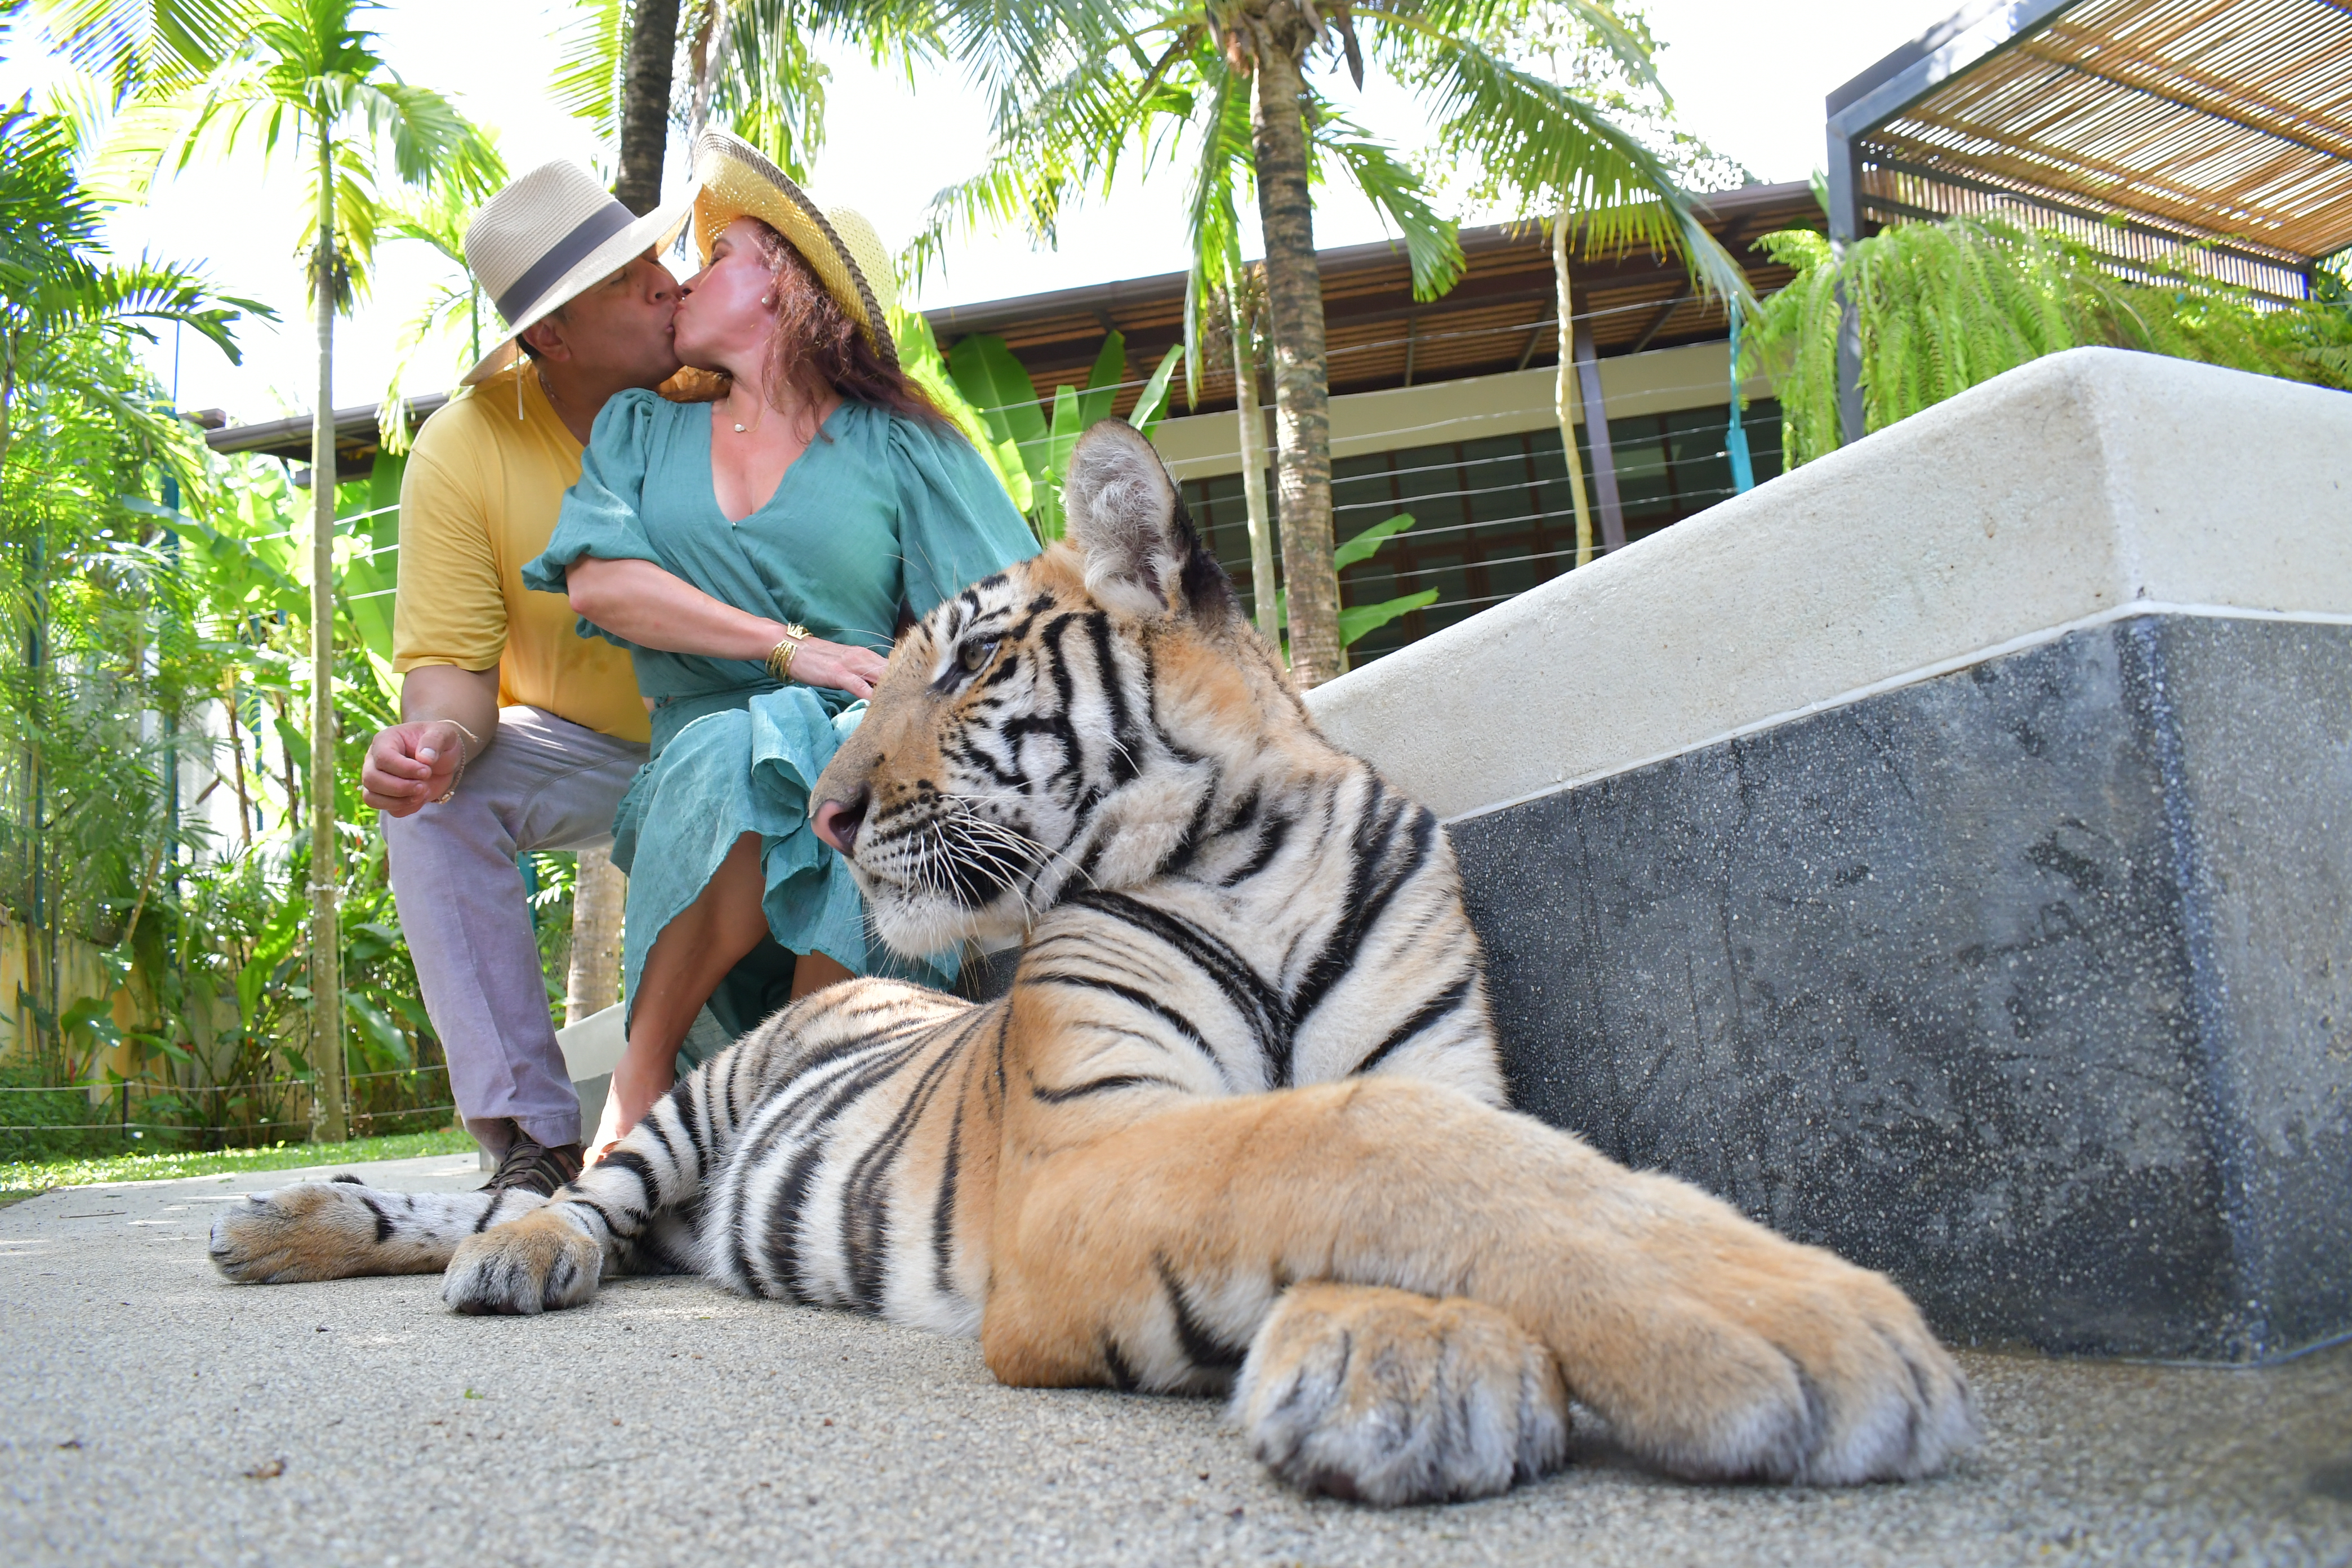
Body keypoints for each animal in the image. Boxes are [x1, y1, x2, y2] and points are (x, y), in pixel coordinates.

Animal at [211, 419, 1977, 1506]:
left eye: (966, 664)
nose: (828, 812)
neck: (1256, 847)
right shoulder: (1088, 1156)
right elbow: (1354, 1140)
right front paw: (1781, 1323)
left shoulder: (1430, 1067)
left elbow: (1438, 1151)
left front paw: (1402, 1361)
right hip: (693, 1110)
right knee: (566, 1194)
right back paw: (462, 1250)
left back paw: (278, 1227)